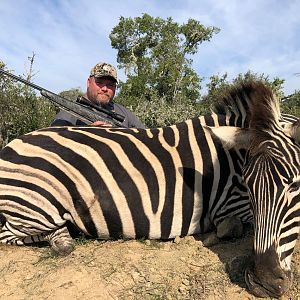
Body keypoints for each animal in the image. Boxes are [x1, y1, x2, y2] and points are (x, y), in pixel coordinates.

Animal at [0, 79, 298, 298]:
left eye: (294, 184)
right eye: (248, 185)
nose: (264, 283)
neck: (228, 158)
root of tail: (10, 146)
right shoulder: (228, 203)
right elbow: (233, 225)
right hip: (36, 206)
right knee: (15, 234)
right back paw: (62, 239)